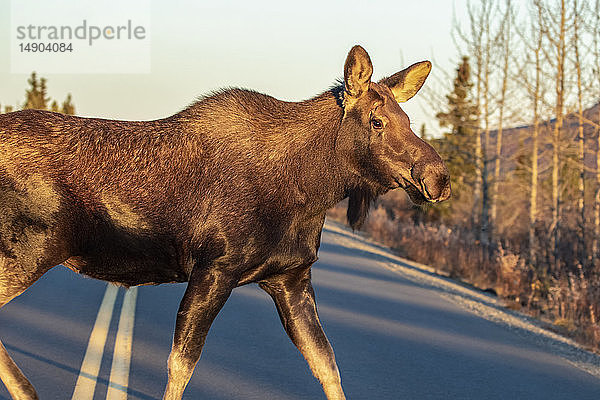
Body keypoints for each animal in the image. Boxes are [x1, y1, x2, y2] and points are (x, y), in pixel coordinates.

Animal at [1, 47, 450, 400]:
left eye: (409, 120)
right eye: (377, 121)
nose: (438, 177)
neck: (311, 189)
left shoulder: (291, 280)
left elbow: (328, 366)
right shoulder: (215, 270)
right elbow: (181, 365)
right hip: (28, 252)